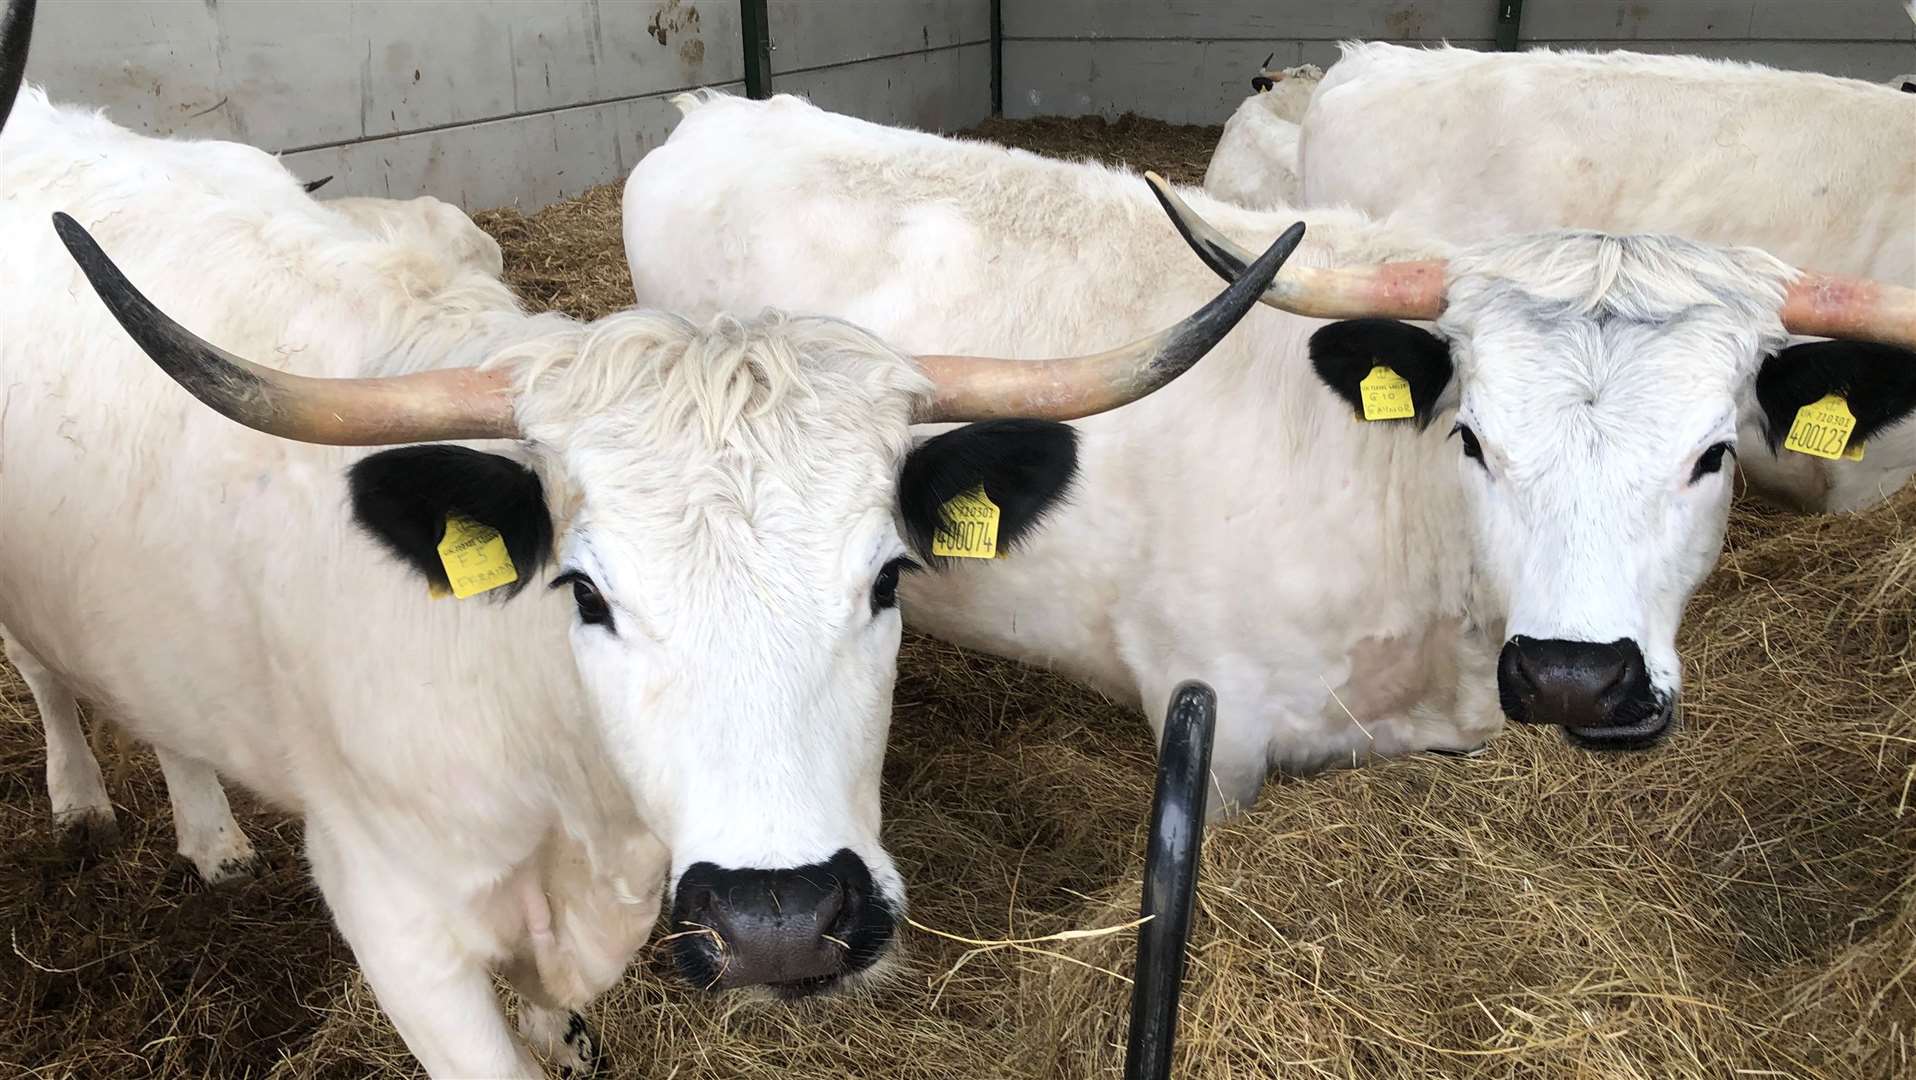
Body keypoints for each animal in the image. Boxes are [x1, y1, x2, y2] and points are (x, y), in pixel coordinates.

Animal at [7, 67, 1279, 1072]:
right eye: (585, 592)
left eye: (887, 581)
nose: (779, 922)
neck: (570, 795)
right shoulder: (393, 919)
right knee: (45, 670)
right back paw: (81, 799)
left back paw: (209, 833)